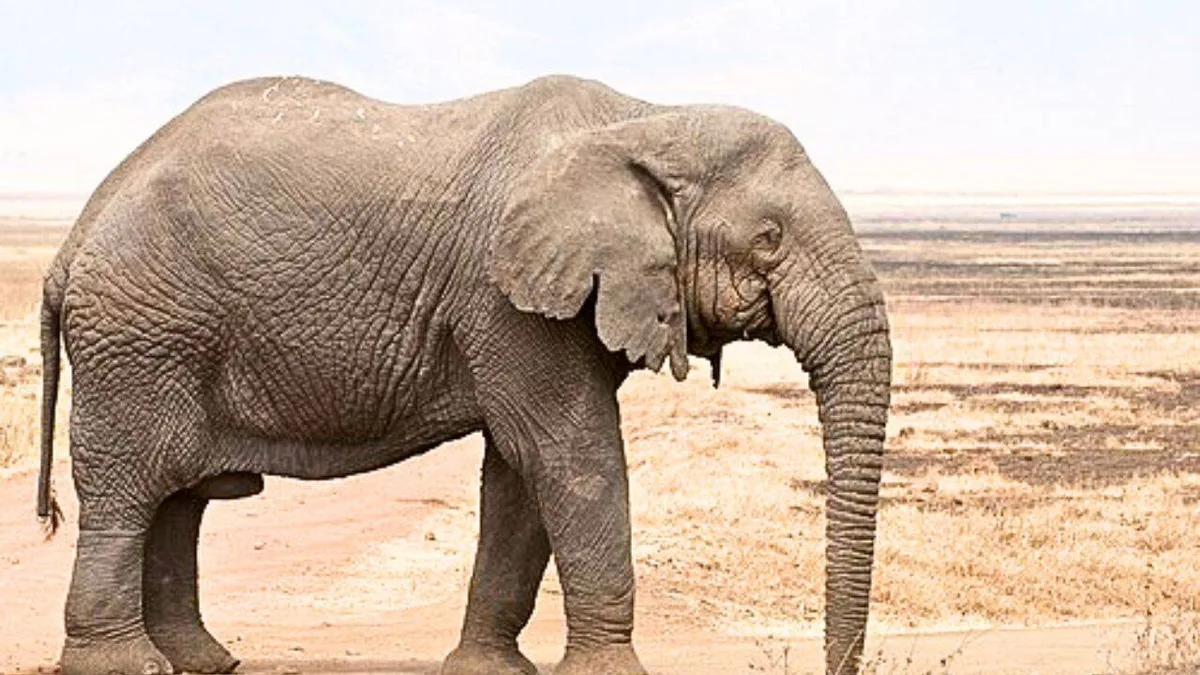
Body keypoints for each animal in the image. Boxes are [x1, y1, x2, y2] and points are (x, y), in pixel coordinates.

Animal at [36, 74, 891, 675]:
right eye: (769, 238)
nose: (831, 665)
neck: (644, 117)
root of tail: (74, 237)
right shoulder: (507, 297)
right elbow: (570, 454)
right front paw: (609, 671)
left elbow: (519, 474)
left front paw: (488, 667)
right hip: (140, 337)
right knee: (131, 490)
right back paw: (127, 663)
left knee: (177, 499)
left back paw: (202, 661)